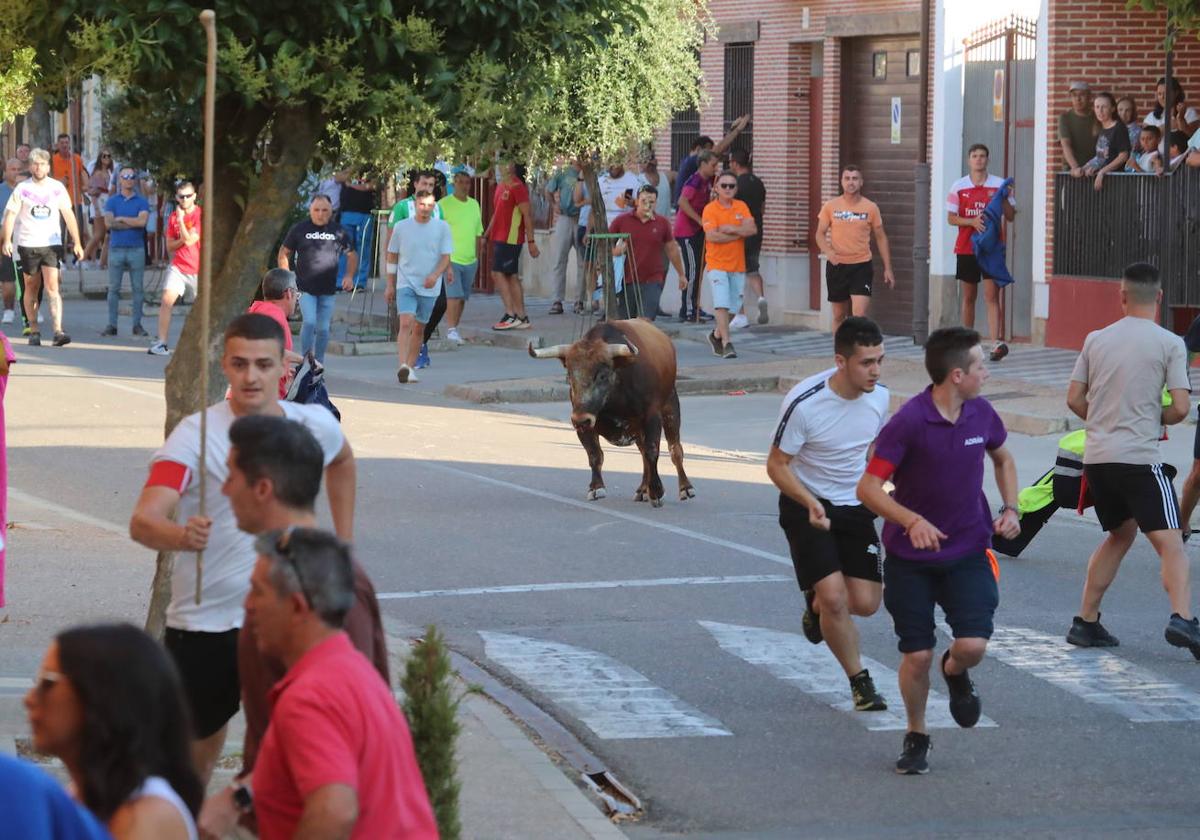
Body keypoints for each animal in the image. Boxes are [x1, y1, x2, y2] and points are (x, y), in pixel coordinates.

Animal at [528, 319, 696, 506]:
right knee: (643, 454)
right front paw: (596, 488)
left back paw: (685, 488)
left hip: (671, 406)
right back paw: (642, 490)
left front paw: (656, 491)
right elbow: (594, 454)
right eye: (570, 375)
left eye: (602, 375)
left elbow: (653, 452)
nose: (580, 420)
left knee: (675, 449)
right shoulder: (585, 423)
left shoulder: (652, 417)